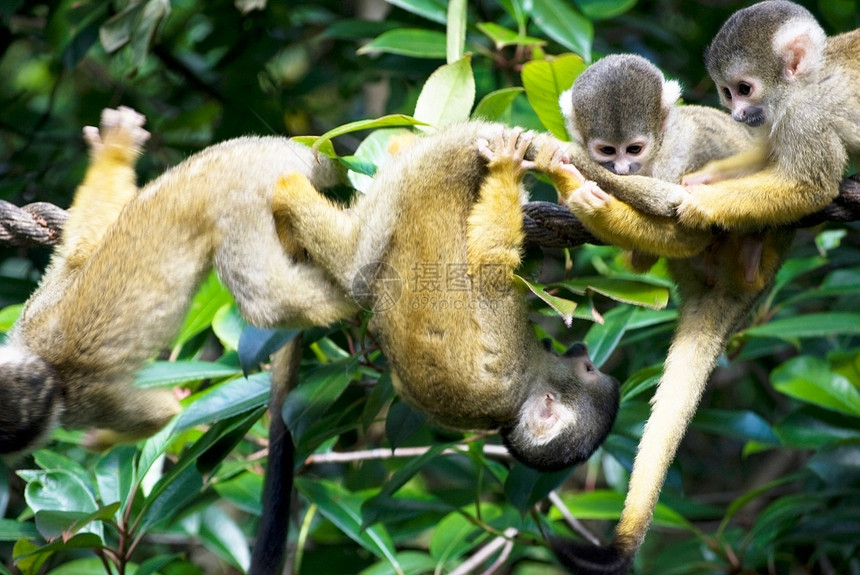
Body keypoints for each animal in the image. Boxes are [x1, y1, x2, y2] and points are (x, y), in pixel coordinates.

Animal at [0, 108, 356, 460]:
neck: (44, 365)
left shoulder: (87, 400)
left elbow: (162, 414)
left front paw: (101, 441)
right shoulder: (30, 320)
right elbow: (79, 254)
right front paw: (113, 155)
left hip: (241, 202)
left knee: (268, 301)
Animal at [274, 124, 620, 470]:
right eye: (589, 369)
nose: (579, 348)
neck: (519, 398)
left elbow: (485, 266)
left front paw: (505, 170)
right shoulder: (511, 353)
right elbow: (488, 267)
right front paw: (510, 170)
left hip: (412, 180)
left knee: (353, 265)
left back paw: (289, 191)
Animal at [680, 0, 860, 230]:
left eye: (744, 89)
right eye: (727, 93)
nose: (737, 115)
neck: (802, 85)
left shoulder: (804, 116)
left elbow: (809, 186)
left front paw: (703, 202)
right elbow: (766, 157)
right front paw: (704, 177)